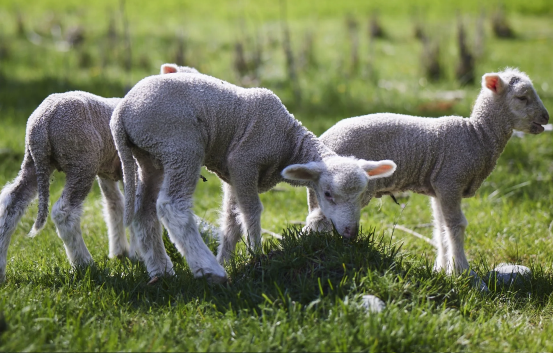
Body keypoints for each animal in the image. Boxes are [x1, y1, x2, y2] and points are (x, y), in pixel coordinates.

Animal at [0, 64, 201, 284]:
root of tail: (45, 119)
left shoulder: (109, 171)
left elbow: (116, 205)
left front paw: (122, 252)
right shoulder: (133, 168)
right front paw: (138, 254)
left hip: (34, 161)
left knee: (12, 202)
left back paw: (1, 267)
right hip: (81, 160)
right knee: (64, 212)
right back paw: (85, 264)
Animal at [110, 72, 396, 284]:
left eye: (362, 196)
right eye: (327, 194)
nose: (350, 233)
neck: (289, 141)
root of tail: (122, 110)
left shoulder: (232, 175)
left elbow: (231, 218)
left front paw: (227, 258)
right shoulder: (244, 161)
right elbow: (251, 210)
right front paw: (255, 254)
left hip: (150, 155)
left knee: (144, 210)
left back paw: (162, 271)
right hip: (179, 144)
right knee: (171, 207)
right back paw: (209, 270)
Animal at [304, 67, 548, 280]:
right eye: (522, 97)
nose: (546, 118)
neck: (478, 135)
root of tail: (321, 140)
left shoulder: (438, 187)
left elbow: (440, 228)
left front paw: (442, 269)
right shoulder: (451, 179)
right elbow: (456, 225)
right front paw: (463, 272)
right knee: (319, 220)